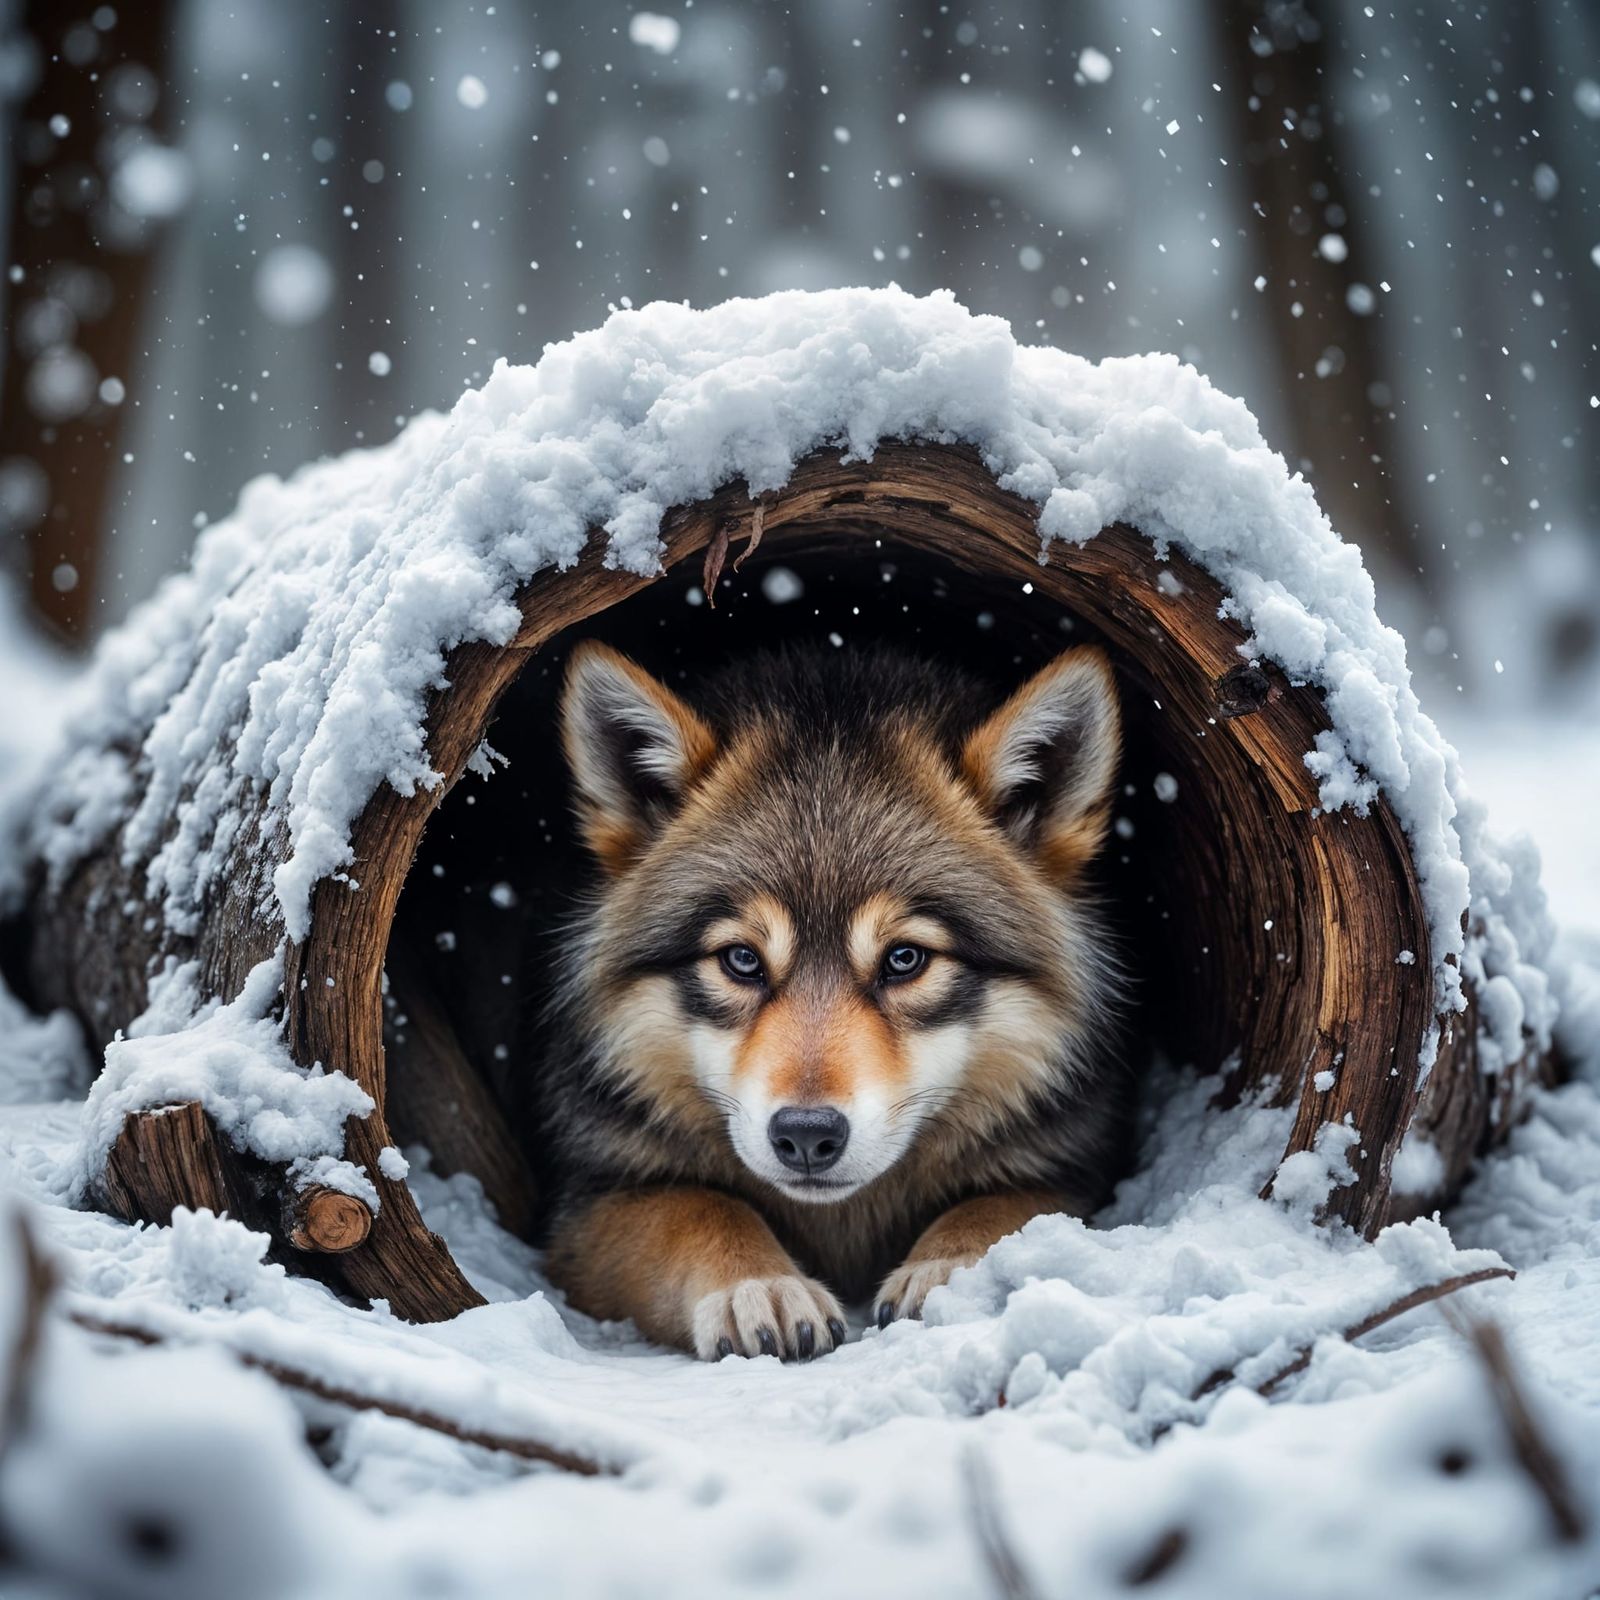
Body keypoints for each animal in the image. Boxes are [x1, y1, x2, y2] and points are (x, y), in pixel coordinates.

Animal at [536, 636, 1130, 1360]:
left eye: (905, 959)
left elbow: (1004, 1207)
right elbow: (698, 1207)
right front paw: (755, 1284)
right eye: (741, 960)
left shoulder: (1072, 1176)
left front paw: (950, 1273)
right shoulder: (585, 1207)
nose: (806, 1136)